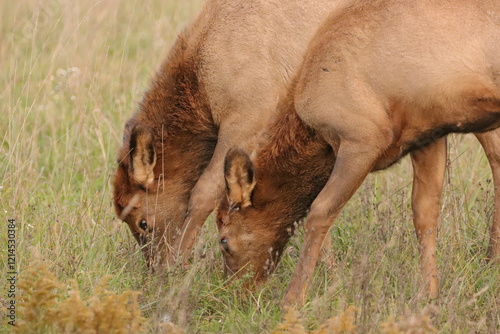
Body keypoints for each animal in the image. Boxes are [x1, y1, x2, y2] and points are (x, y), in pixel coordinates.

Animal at [113, 0, 340, 266]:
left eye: (143, 222)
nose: (154, 268)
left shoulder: (246, 119)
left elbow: (204, 193)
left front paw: (176, 262)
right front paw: (328, 267)